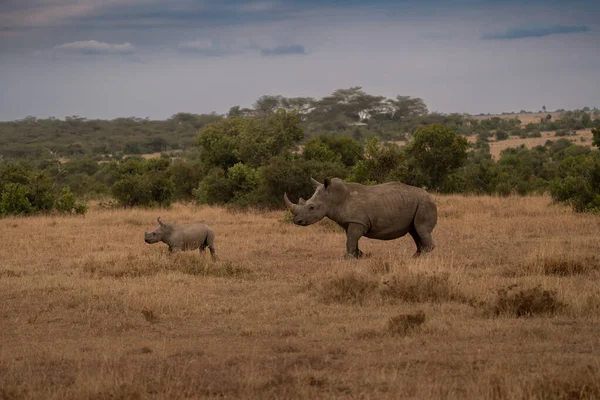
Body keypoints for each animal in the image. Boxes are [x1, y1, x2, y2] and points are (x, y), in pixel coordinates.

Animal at [284, 177, 438, 258]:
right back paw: (415, 257)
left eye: (311, 207)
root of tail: (430, 196)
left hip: (425, 203)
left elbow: (351, 240)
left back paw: (422, 256)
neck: (334, 198)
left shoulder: (358, 222)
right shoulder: (351, 222)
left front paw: (348, 258)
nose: (296, 221)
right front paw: (359, 256)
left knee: (421, 229)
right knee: (415, 231)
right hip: (417, 203)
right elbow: (351, 239)